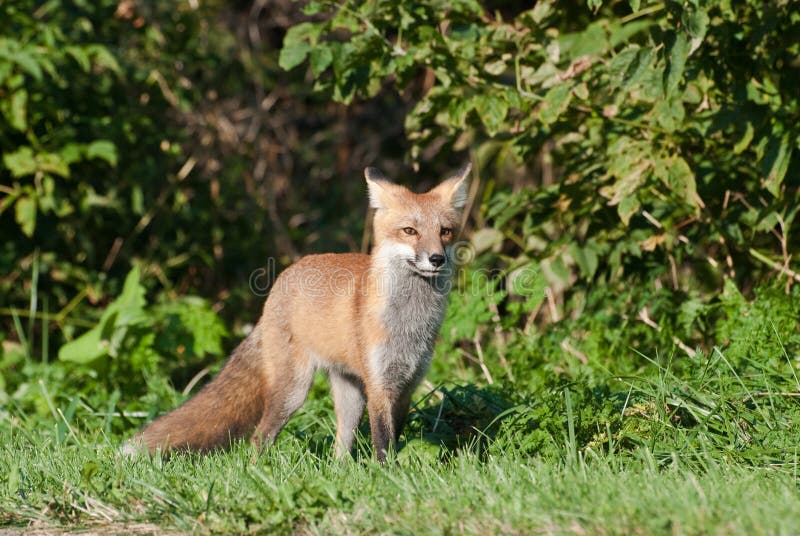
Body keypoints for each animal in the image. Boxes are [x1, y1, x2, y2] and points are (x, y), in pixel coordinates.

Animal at [124, 163, 468, 460]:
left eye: (445, 231)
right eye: (409, 231)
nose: (436, 258)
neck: (409, 323)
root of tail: (283, 279)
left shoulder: (408, 384)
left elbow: (394, 438)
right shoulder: (379, 385)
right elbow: (383, 444)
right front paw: (387, 476)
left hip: (350, 396)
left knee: (340, 447)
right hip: (294, 390)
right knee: (259, 437)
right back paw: (257, 472)